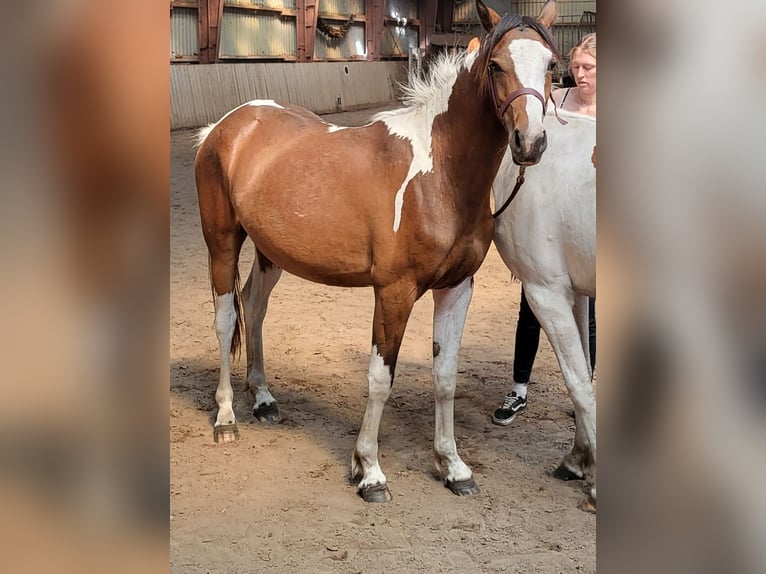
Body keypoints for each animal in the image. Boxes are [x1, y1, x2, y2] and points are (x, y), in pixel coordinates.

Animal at [194, 0, 561, 502]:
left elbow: (445, 377)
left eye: (552, 66)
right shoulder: (393, 292)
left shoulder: (457, 289)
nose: (531, 143)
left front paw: (453, 467)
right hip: (222, 241)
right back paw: (226, 417)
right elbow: (380, 379)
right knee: (226, 316)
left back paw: (264, 399)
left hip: (272, 251)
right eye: (496, 65)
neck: (440, 175)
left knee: (254, 306)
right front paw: (369, 470)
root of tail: (225, 126)